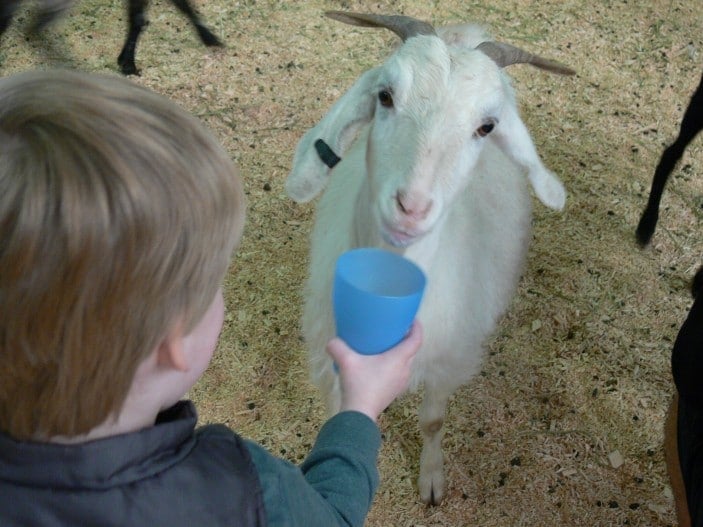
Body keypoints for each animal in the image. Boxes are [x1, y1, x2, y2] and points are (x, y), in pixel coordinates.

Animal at [284, 12, 572, 506]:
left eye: (487, 127)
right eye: (385, 96)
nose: (411, 207)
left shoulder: (447, 359)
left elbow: (433, 420)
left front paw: (432, 479)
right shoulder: (331, 357)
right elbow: (339, 415)